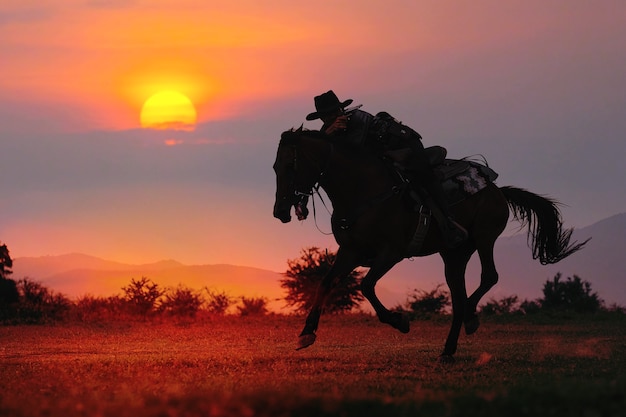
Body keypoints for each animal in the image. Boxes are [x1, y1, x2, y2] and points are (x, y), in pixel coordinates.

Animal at [270, 128, 588, 362]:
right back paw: (448, 349)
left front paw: (400, 321)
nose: (280, 211)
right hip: (454, 255)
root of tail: (498, 189)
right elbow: (325, 283)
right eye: (275, 166)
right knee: (458, 298)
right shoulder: (351, 252)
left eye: (290, 165)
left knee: (488, 278)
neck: (364, 189)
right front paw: (306, 333)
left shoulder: (391, 253)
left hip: (484, 238)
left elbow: (366, 286)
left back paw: (471, 319)